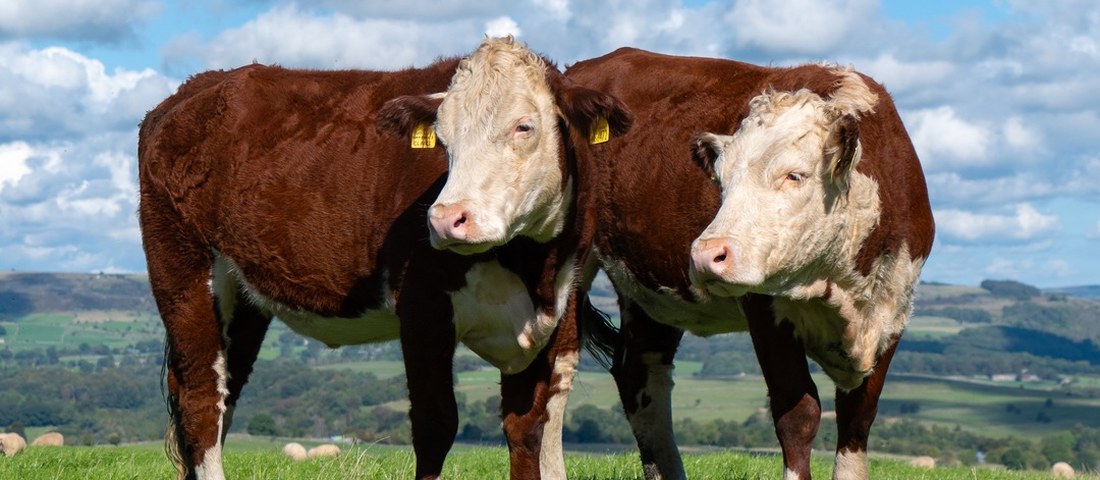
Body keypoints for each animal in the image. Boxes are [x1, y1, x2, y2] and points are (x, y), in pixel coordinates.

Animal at [138, 51, 619, 480]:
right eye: (443, 139)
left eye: (524, 126)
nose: (445, 219)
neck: (529, 265)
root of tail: (199, 85)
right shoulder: (422, 307)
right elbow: (435, 425)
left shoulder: (552, 316)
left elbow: (528, 426)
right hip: (182, 273)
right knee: (202, 400)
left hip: (242, 300)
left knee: (224, 391)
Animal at [384, 41, 933, 480]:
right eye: (720, 180)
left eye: (794, 175)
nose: (708, 253)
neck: (839, 279)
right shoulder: (765, 308)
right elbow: (798, 415)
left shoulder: (892, 314)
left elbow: (857, 422)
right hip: (571, 276)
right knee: (557, 387)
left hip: (648, 293)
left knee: (640, 380)